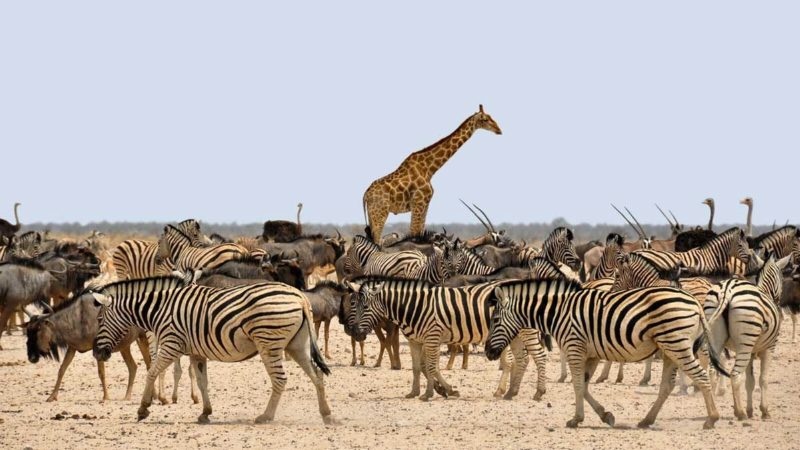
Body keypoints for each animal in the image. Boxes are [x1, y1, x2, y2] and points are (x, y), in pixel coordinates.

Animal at [91, 275, 334, 424]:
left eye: (100, 319)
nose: (96, 353)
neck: (160, 309)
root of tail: (300, 296)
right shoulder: (196, 352)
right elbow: (202, 382)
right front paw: (205, 413)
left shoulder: (171, 344)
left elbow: (151, 372)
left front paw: (143, 409)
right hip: (297, 345)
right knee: (317, 375)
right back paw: (326, 414)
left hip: (269, 343)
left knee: (281, 380)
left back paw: (266, 416)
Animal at [347, 277, 549, 401]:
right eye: (354, 305)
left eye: (365, 307)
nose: (355, 333)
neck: (413, 307)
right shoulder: (415, 341)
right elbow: (417, 367)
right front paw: (415, 392)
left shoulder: (432, 337)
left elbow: (430, 367)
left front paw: (431, 393)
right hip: (513, 334)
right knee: (522, 359)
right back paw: (509, 392)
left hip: (526, 331)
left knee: (539, 357)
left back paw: (538, 392)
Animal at [362, 105, 502, 243]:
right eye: (485, 119)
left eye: (491, 117)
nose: (499, 130)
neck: (429, 169)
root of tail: (365, 196)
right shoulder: (419, 203)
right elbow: (414, 232)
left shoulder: (425, 204)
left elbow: (419, 231)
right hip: (380, 213)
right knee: (377, 240)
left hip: (372, 215)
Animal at [485, 277, 728, 429]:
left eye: (495, 320)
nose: (488, 352)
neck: (558, 312)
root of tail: (695, 301)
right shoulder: (590, 354)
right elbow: (584, 386)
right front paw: (606, 415)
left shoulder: (574, 347)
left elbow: (577, 385)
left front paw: (576, 419)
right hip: (669, 348)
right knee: (667, 386)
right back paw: (646, 420)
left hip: (676, 344)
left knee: (701, 376)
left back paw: (712, 419)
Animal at [704, 252, 791, 420]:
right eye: (782, 277)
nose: (779, 302)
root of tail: (727, 289)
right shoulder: (769, 348)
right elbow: (763, 379)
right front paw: (764, 410)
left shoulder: (751, 352)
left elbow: (750, 382)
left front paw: (751, 410)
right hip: (744, 342)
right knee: (735, 375)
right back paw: (740, 413)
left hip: (717, 339)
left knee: (711, 373)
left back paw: (714, 412)